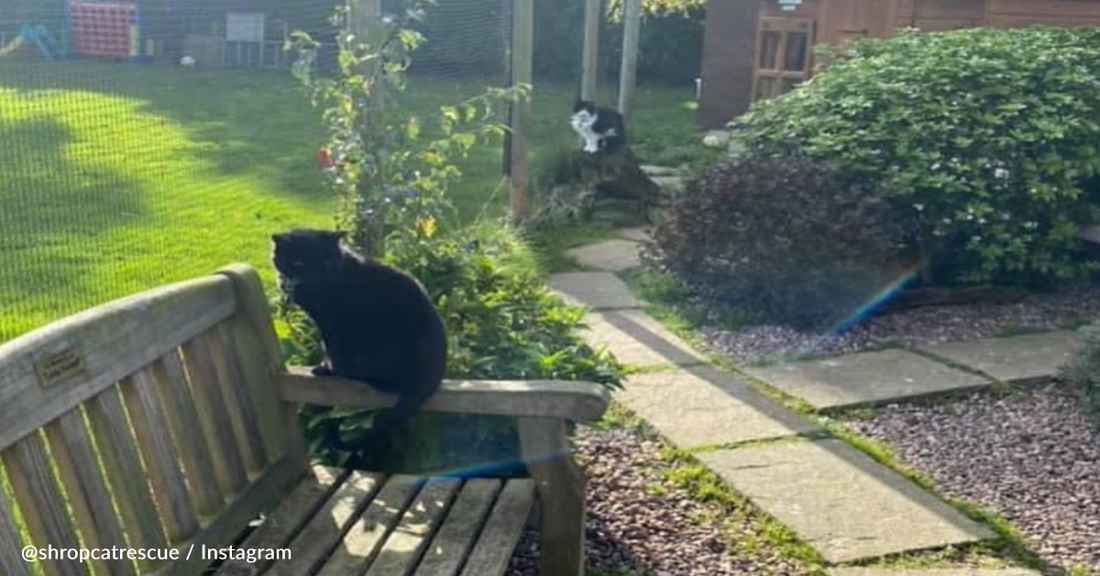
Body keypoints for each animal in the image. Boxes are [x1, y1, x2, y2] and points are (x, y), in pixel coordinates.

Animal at [271, 229, 446, 450]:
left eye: (327, 264)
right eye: (298, 263)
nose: (316, 276)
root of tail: (434, 377)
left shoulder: (332, 323)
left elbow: (333, 349)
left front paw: (330, 370)